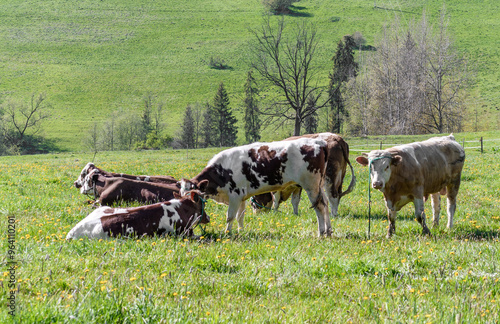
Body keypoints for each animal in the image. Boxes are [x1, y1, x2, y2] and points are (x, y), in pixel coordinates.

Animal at [180, 137, 332, 235]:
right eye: (180, 195)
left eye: (193, 197)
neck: (222, 170)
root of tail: (317, 142)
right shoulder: (241, 198)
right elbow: (240, 216)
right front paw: (240, 231)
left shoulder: (234, 196)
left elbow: (230, 216)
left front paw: (227, 233)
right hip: (319, 186)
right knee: (325, 204)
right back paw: (329, 231)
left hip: (311, 186)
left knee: (319, 207)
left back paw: (321, 232)